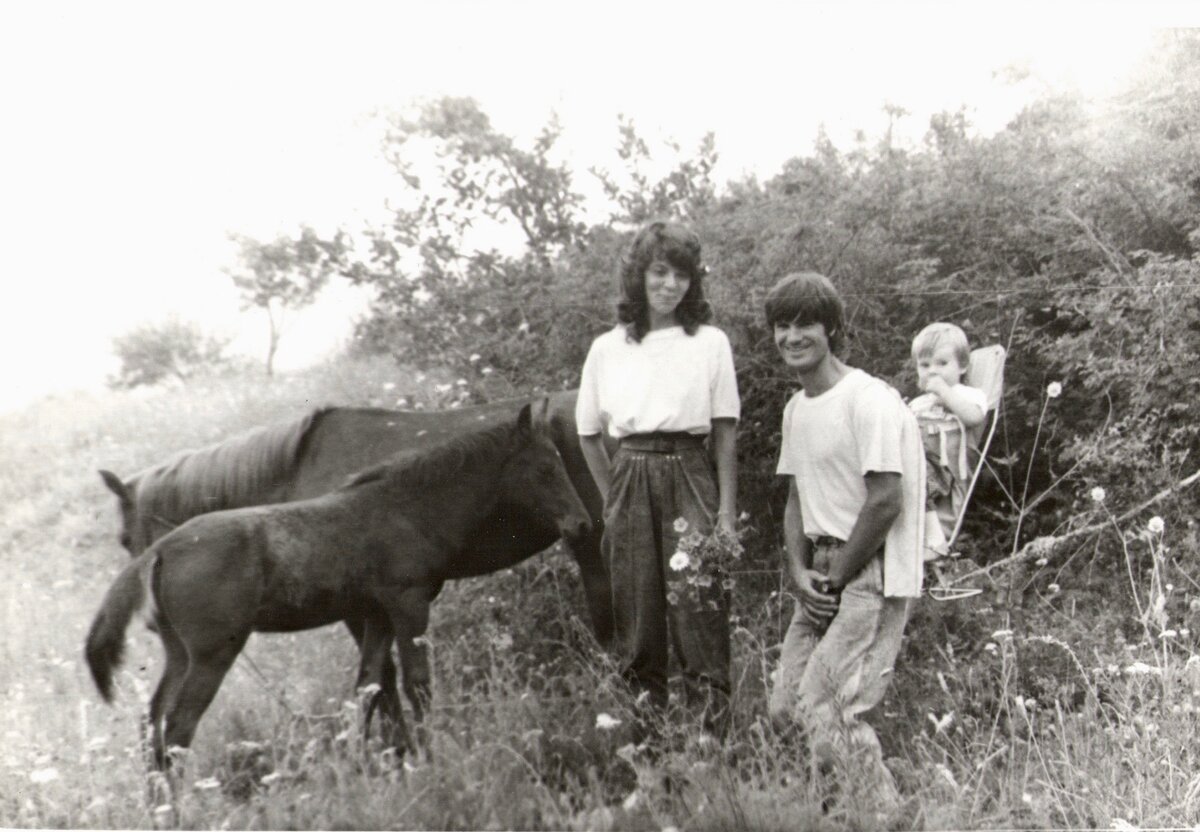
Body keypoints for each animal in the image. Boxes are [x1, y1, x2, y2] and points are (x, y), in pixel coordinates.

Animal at [84, 398, 590, 768]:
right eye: (544, 469)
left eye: (560, 463)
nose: (580, 523)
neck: (401, 506)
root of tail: (162, 551)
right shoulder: (405, 605)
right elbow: (411, 683)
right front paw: (421, 758)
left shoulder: (377, 614)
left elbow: (368, 687)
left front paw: (369, 763)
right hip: (209, 656)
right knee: (175, 728)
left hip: (182, 655)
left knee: (154, 725)